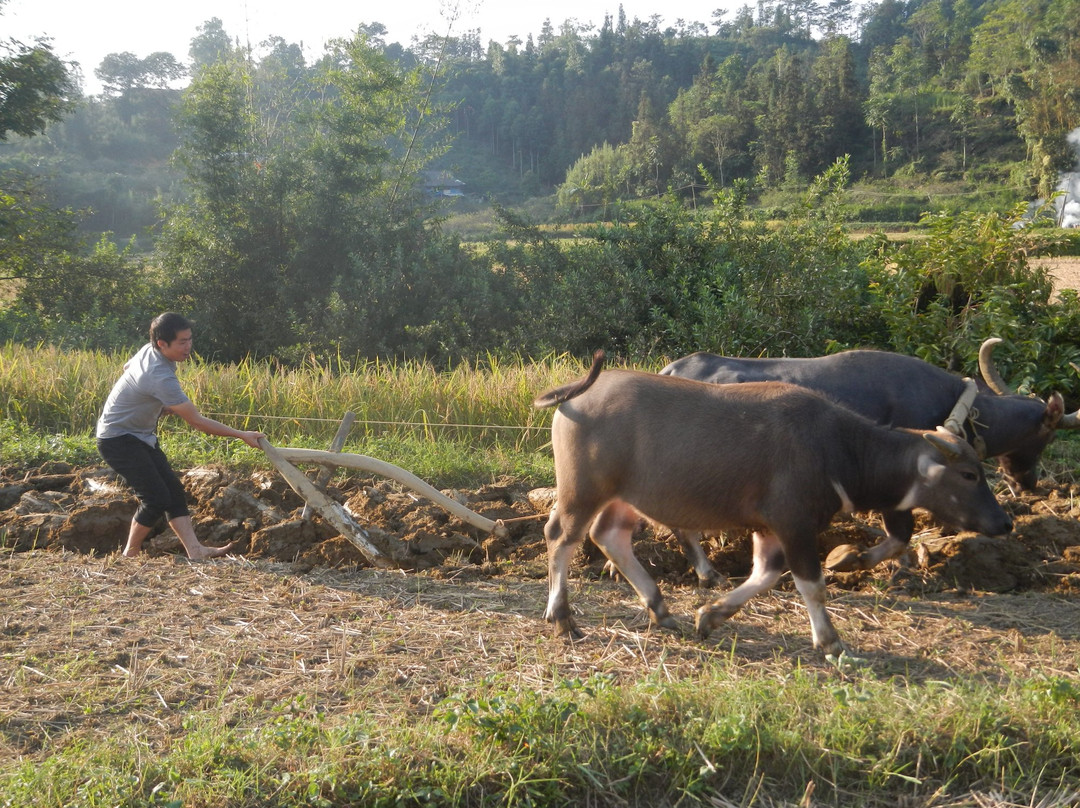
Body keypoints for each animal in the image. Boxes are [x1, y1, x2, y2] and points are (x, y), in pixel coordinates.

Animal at [533, 354, 1010, 656]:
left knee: (609, 536)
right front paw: (831, 642)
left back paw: (660, 609)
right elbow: (811, 584)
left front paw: (711, 615)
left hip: (624, 497)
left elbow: (764, 574)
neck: (840, 449)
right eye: (969, 475)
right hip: (583, 491)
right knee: (561, 537)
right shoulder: (794, 524)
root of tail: (577, 394)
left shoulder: (769, 528)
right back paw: (563, 618)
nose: (1004, 522)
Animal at [656, 339, 1071, 578]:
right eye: (1046, 435)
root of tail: (671, 369)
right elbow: (899, 534)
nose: (1029, 482)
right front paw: (877, 564)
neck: (953, 402)